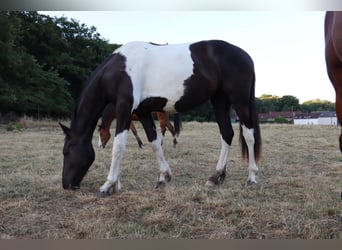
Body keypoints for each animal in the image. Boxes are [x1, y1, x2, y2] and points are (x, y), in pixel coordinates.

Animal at [59, 39, 262, 196]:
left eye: (66, 151)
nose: (66, 185)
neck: (119, 70)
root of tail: (245, 56)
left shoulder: (125, 108)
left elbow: (118, 147)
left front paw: (108, 185)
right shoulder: (142, 112)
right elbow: (154, 142)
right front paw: (163, 177)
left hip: (240, 102)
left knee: (249, 135)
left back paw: (251, 177)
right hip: (219, 101)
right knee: (227, 134)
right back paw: (216, 176)